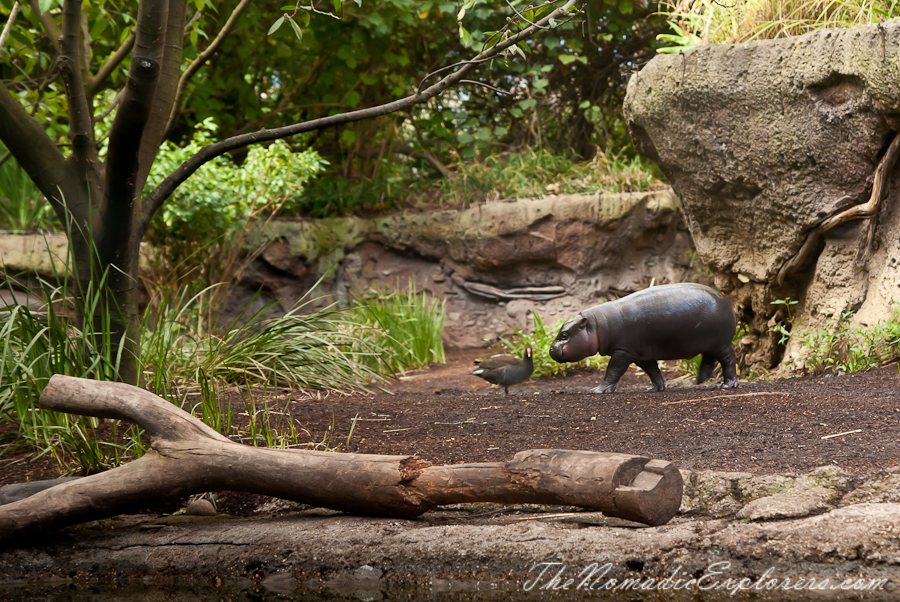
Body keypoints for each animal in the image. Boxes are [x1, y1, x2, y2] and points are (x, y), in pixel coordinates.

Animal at [548, 282, 740, 394]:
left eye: (564, 335)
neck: (598, 326)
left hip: (721, 344)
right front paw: (654, 388)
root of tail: (727, 301)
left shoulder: (623, 352)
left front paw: (597, 390)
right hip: (711, 344)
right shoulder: (641, 355)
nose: (550, 349)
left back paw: (726, 385)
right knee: (708, 359)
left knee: (729, 360)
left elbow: (613, 370)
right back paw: (699, 381)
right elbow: (653, 371)